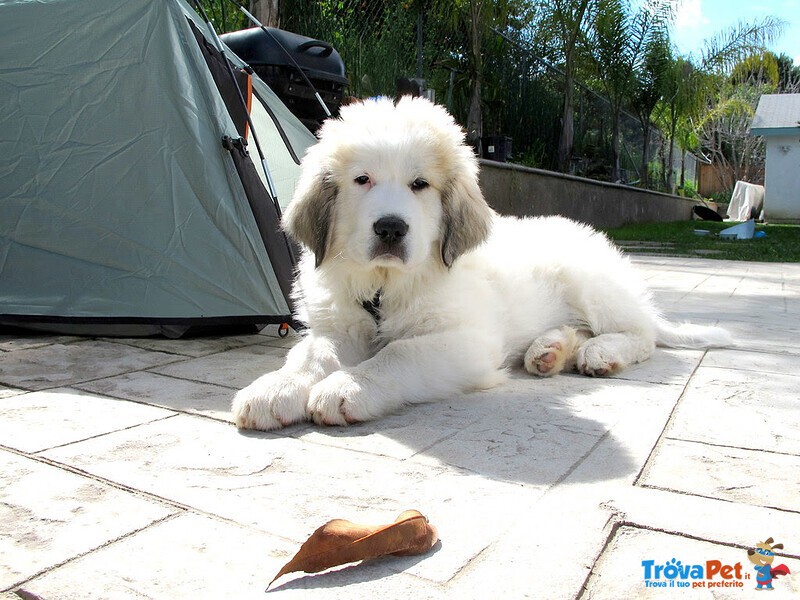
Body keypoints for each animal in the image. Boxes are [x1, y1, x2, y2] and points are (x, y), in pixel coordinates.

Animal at [231, 95, 732, 432]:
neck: (386, 286)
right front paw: (276, 387)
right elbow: (311, 354)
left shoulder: (468, 341)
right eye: (362, 180)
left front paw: (348, 386)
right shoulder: (339, 325)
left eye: (420, 184)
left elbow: (399, 352)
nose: (391, 228)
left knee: (641, 334)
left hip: (593, 282)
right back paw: (550, 350)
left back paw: (600, 352)